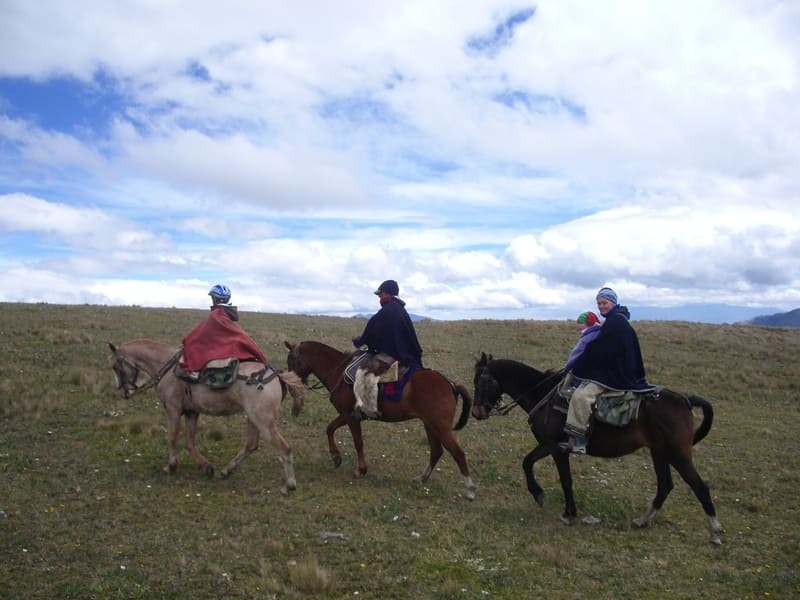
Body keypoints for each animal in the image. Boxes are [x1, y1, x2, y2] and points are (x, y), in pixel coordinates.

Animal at [108, 340, 304, 494]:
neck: (168, 368)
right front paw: (206, 467)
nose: (123, 392)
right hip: (253, 418)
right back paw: (226, 470)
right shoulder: (191, 412)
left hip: (264, 421)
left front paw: (171, 466)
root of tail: (277, 376)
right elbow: (189, 442)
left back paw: (289, 485)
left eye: (115, 367)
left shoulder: (173, 409)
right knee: (251, 445)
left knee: (285, 449)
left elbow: (172, 437)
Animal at [284, 340, 476, 500]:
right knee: (436, 451)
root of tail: (451, 384)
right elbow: (330, 428)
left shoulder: (351, 417)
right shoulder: (346, 415)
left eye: (291, 361)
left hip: (441, 428)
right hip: (430, 425)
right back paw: (422, 478)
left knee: (458, 453)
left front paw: (361, 470)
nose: (291, 386)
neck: (338, 371)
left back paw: (469, 490)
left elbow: (358, 442)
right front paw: (336, 456)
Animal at [472, 354, 720, 548]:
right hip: (659, 453)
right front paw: (538, 494)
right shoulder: (547, 445)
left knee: (700, 487)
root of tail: (685, 400)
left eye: (480, 382)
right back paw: (642, 521)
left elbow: (566, 480)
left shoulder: (558, 450)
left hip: (678, 455)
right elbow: (527, 462)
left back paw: (715, 532)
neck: (542, 393)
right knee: (665, 485)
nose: (476, 412)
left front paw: (569, 513)